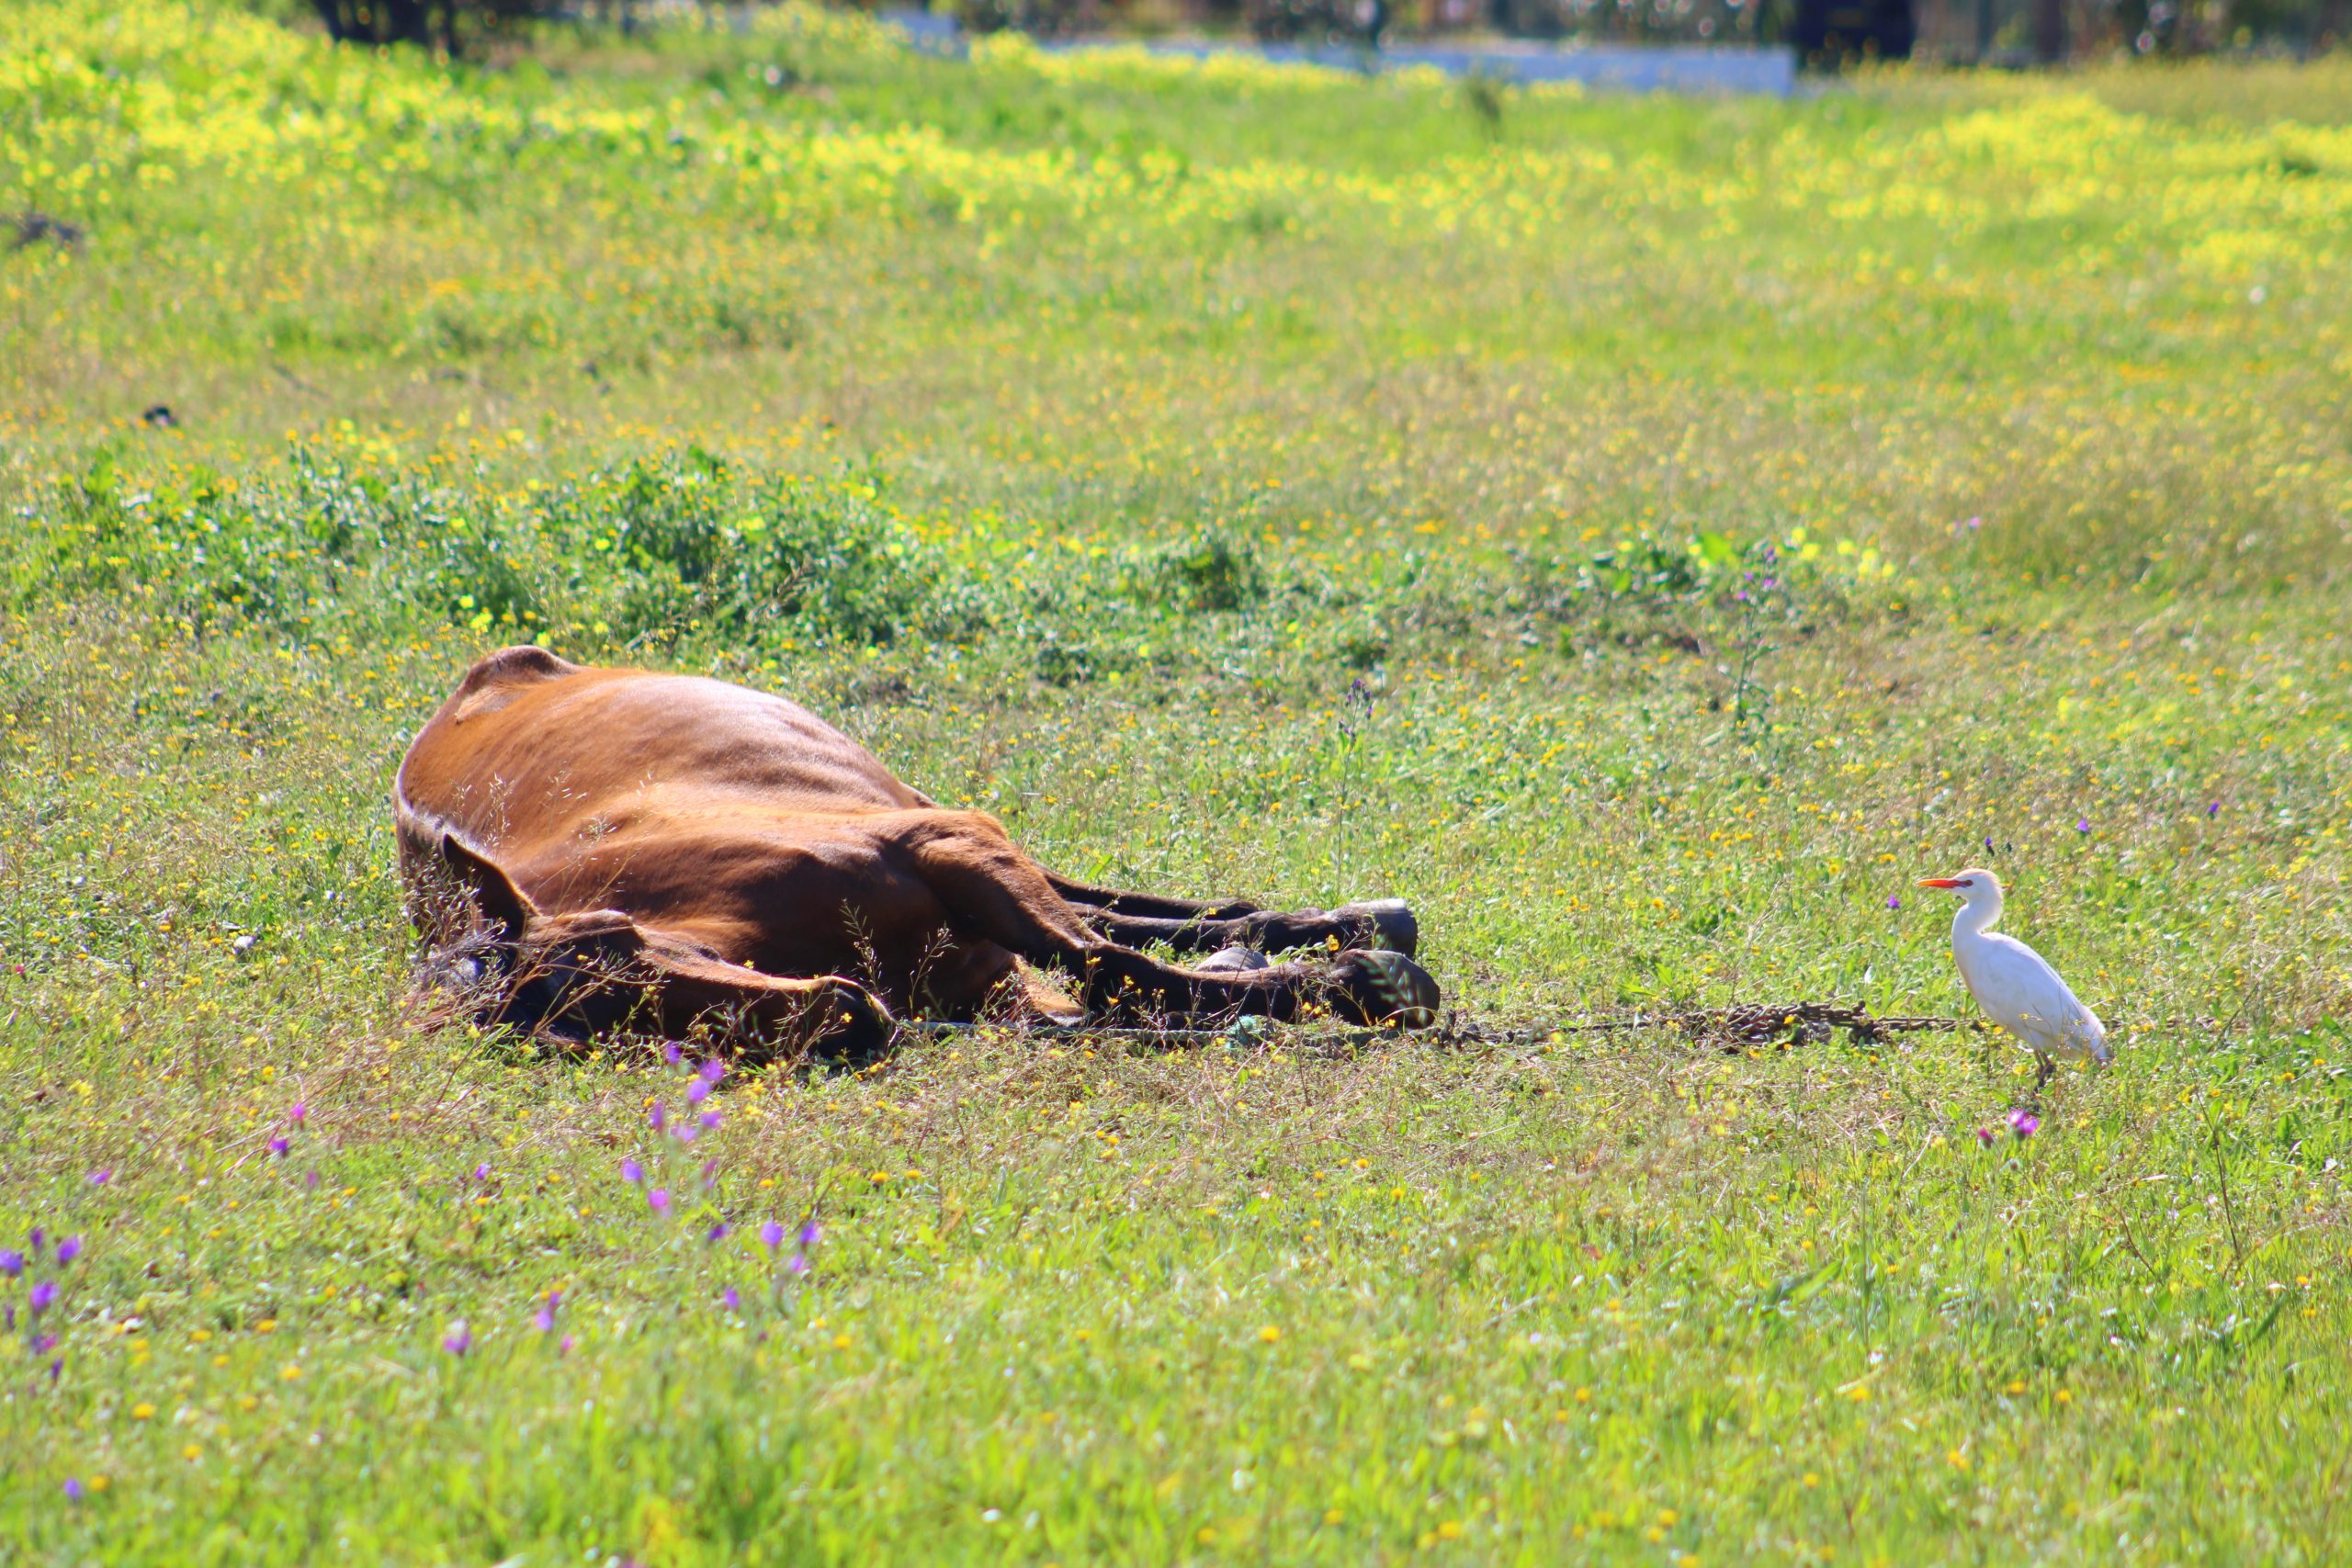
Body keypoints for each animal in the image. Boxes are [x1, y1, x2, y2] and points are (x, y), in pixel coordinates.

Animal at [395, 644, 1439, 1062]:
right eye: (593, 1033)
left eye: (619, 940)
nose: (847, 1016)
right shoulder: (1001, 989)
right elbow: (1115, 994)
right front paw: (1335, 985)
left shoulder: (949, 842)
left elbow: (1110, 963)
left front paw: (1361, 980)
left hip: (929, 811)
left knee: (1111, 909)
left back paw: (1362, 928)